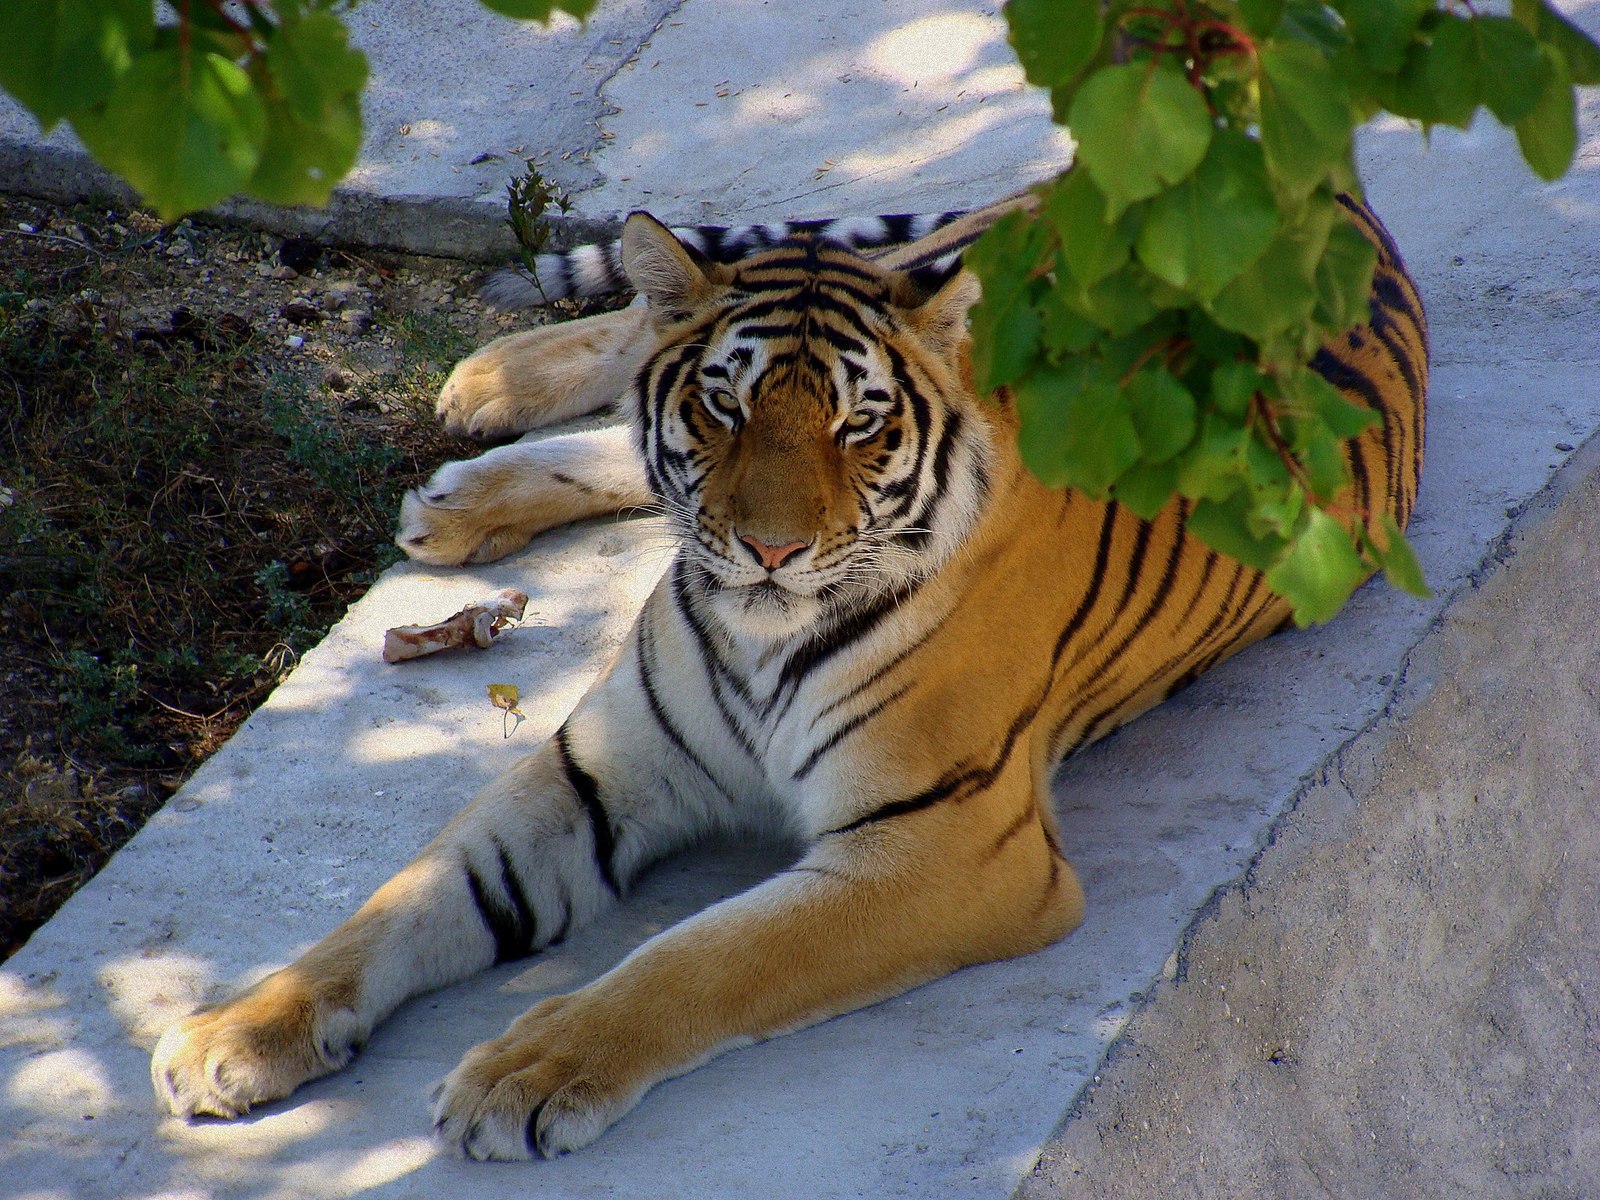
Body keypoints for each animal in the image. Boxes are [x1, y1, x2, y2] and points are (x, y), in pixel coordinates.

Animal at [150, 183, 1427, 1158]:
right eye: (723, 409)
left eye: (860, 425)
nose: (766, 549)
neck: (754, 626)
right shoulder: (594, 770)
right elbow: (404, 901)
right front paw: (235, 1031)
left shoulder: (944, 845)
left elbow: (700, 956)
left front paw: (524, 1074)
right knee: (644, 327)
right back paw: (484, 408)